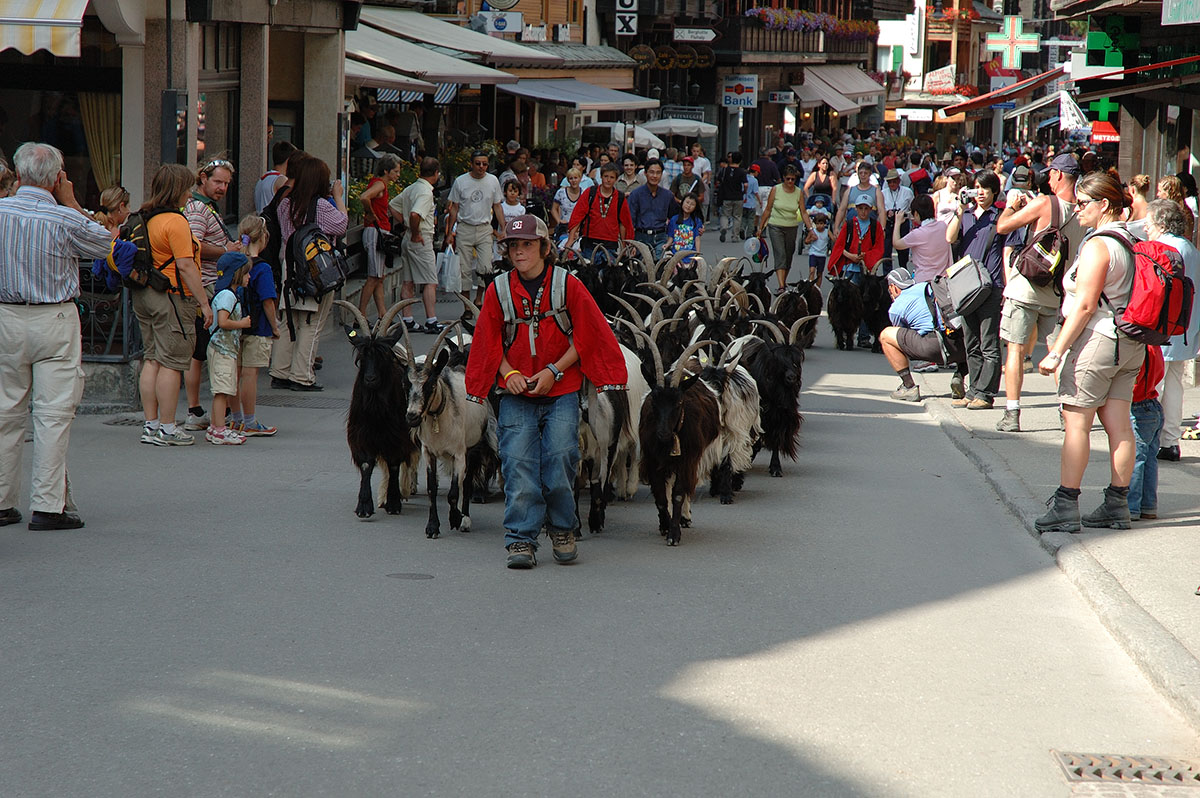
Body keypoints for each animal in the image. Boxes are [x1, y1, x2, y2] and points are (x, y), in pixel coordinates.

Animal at [333, 297, 422, 516]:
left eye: (383, 356)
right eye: (362, 357)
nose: (370, 379)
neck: (376, 413)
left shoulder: (397, 435)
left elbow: (394, 464)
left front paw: (394, 502)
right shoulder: (362, 434)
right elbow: (367, 464)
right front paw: (364, 505)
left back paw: (404, 489)